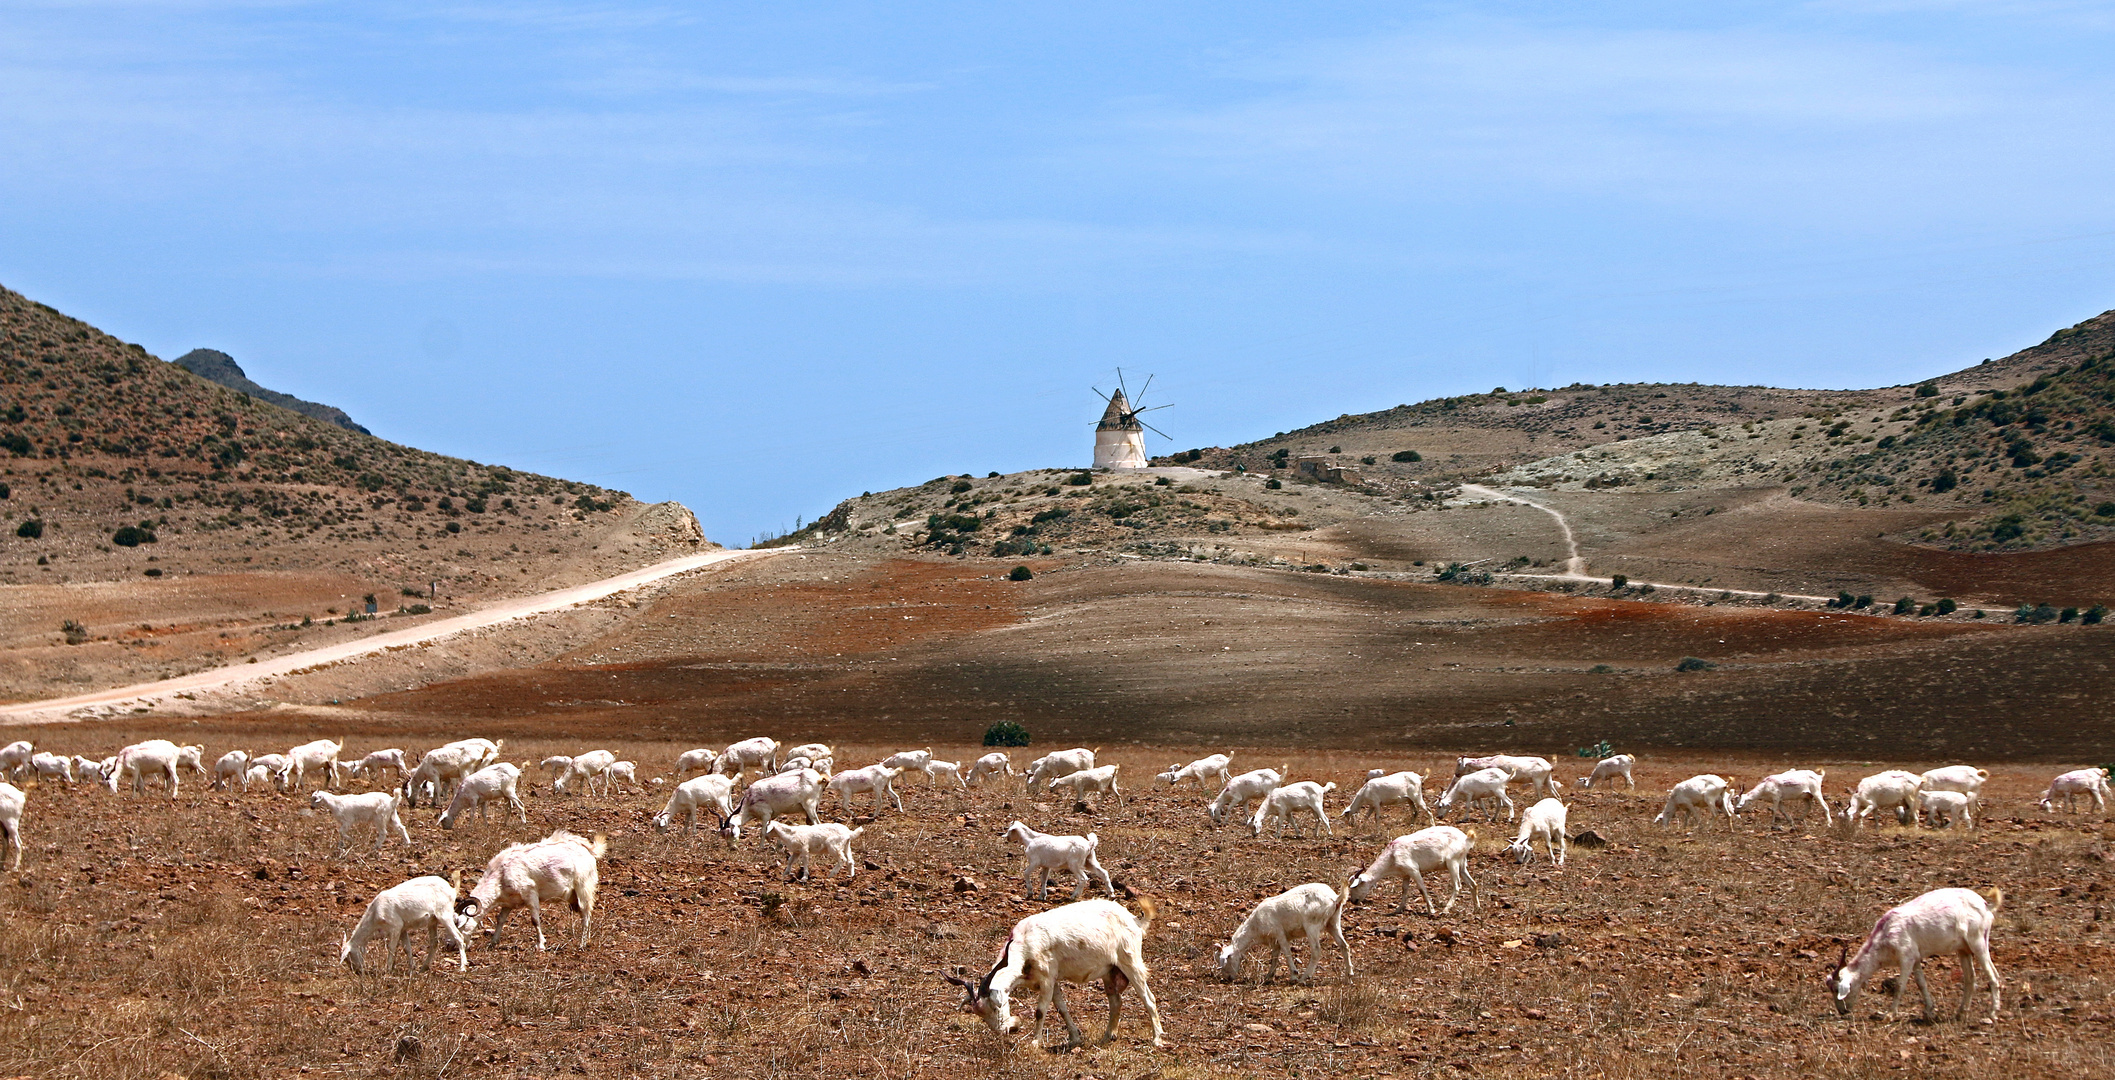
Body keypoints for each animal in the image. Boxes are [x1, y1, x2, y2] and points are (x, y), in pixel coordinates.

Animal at [338, 874, 475, 976]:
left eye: (349, 956)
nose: (357, 971)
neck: (375, 912)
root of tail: (452, 890)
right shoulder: (403, 929)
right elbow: (407, 948)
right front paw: (411, 969)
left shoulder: (395, 927)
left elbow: (391, 948)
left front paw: (388, 970)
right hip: (433, 921)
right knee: (434, 943)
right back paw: (423, 968)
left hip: (444, 916)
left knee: (459, 937)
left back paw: (462, 967)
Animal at [456, 832, 604, 951]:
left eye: (459, 925)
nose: (453, 946)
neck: (500, 874)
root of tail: (590, 851)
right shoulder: (508, 902)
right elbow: (501, 919)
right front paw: (493, 942)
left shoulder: (530, 894)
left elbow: (534, 920)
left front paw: (541, 945)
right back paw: (587, 940)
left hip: (584, 888)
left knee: (586, 914)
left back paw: (582, 943)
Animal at [951, 900, 1167, 1052]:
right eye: (981, 1015)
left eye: (998, 1006)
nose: (1005, 1030)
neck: (1024, 943)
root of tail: (1135, 920)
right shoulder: (1052, 981)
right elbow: (1062, 1008)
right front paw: (1075, 1038)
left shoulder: (1047, 978)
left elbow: (1040, 1012)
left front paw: (1035, 1043)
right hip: (1109, 971)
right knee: (1115, 1001)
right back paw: (1108, 1036)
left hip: (1130, 961)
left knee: (1149, 998)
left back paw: (1157, 1038)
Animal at [1345, 828, 1480, 913]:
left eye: (1356, 886)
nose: (1353, 901)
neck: (1392, 854)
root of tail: (1466, 839)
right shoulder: (1406, 874)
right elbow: (1404, 890)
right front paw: (1398, 909)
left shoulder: (1414, 870)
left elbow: (1422, 889)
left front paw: (1431, 910)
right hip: (1462, 865)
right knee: (1473, 884)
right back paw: (1476, 908)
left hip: (1452, 863)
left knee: (1457, 886)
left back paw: (1445, 910)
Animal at [1827, 887, 2005, 1022]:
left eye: (1836, 990)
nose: (1842, 1011)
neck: (1886, 932)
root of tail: (1986, 905)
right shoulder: (1916, 959)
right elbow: (1921, 983)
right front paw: (1930, 1012)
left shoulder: (1906, 958)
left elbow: (1900, 985)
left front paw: (1889, 1015)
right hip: (1963, 950)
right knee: (1970, 978)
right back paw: (1961, 1013)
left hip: (1978, 942)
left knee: (1993, 975)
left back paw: (1992, 1014)